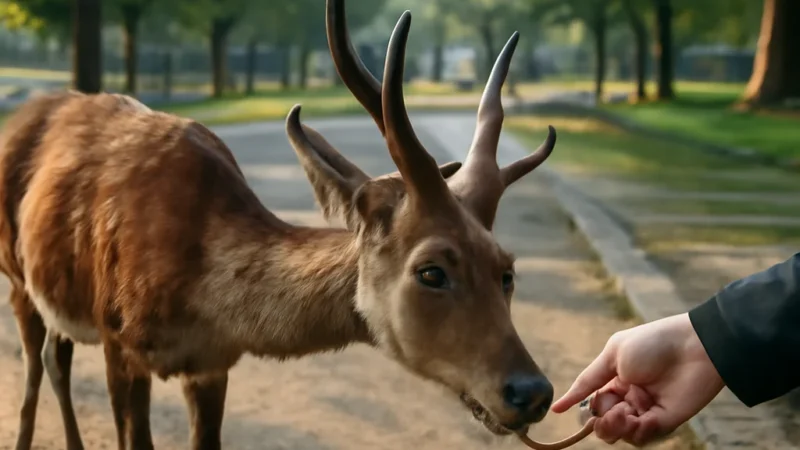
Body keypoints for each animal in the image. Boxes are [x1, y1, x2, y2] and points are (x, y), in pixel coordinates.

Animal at [1, 0, 558, 449]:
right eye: (431, 271)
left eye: (507, 272)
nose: (531, 391)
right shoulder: (118, 341)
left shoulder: (213, 364)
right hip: (15, 273)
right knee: (34, 364)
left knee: (54, 355)